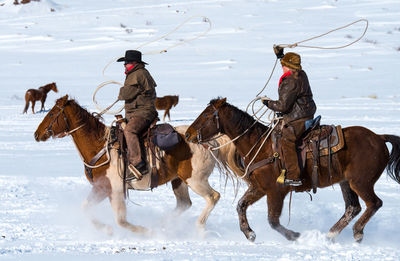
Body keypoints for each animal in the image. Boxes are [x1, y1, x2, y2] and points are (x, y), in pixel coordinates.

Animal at [33, 94, 222, 235]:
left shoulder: (114, 190)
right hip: (179, 180)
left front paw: (145, 232)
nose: (37, 134)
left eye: (52, 114)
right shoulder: (101, 188)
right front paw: (106, 229)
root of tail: (206, 142)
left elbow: (121, 220)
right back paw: (163, 224)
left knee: (213, 197)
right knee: (184, 204)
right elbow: (85, 208)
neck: (101, 148)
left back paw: (199, 227)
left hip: (196, 180)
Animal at [185, 97, 400, 242]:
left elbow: (273, 220)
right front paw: (249, 233)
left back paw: (357, 232)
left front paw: (295, 235)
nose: (187, 134)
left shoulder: (276, 191)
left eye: (206, 115)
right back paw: (330, 234)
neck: (260, 145)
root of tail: (379, 137)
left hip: (361, 182)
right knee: (352, 208)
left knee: (374, 203)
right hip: (345, 182)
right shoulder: (260, 188)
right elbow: (241, 205)